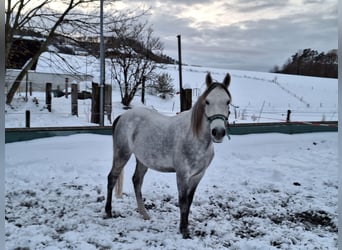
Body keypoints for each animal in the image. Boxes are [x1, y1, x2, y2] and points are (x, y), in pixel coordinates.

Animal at [105, 72, 231, 238]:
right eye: (207, 102)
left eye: (228, 102)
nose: (218, 132)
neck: (195, 137)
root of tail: (123, 116)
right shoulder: (182, 175)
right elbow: (183, 202)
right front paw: (184, 231)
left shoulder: (198, 175)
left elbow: (189, 201)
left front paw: (186, 228)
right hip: (122, 154)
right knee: (112, 178)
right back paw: (108, 212)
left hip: (142, 160)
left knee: (137, 181)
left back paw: (144, 214)